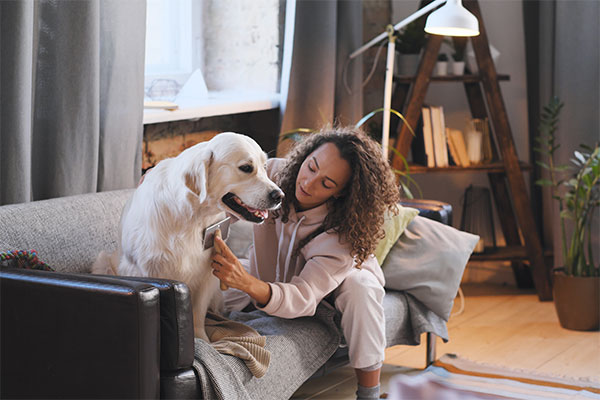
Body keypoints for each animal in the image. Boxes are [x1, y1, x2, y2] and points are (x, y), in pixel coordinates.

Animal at [92, 133, 284, 342]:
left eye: (264, 167)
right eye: (246, 168)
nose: (279, 195)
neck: (191, 217)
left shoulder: (208, 272)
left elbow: (197, 314)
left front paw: (202, 340)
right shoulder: (141, 269)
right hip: (102, 261)